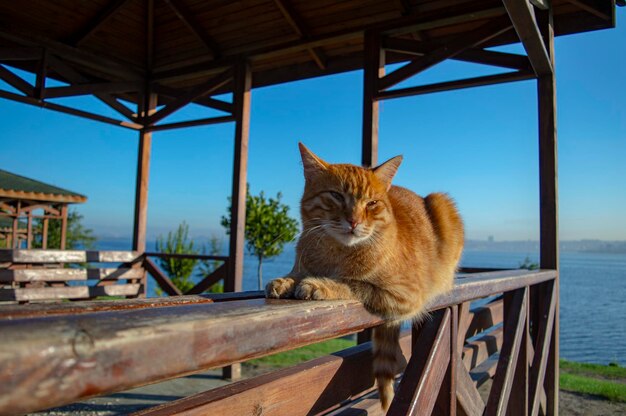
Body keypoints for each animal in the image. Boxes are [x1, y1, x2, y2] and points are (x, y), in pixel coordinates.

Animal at [264, 142, 464, 410]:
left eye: (371, 203)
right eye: (336, 196)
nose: (354, 221)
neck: (336, 252)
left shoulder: (405, 296)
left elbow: (352, 283)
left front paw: (320, 285)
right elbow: (296, 273)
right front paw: (285, 282)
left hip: (441, 202)